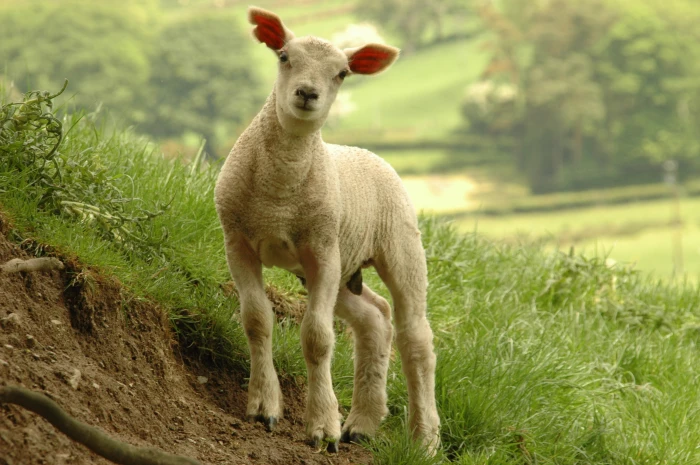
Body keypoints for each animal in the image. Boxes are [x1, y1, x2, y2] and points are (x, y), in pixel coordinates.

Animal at [214, 6, 440, 454]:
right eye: (284, 56)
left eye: (342, 73)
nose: (306, 93)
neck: (279, 194)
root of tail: (369, 154)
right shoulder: (238, 241)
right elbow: (256, 319)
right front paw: (264, 407)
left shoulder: (321, 249)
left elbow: (317, 338)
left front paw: (322, 427)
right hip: (340, 266)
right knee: (375, 319)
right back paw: (363, 423)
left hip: (396, 244)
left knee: (416, 337)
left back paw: (424, 439)